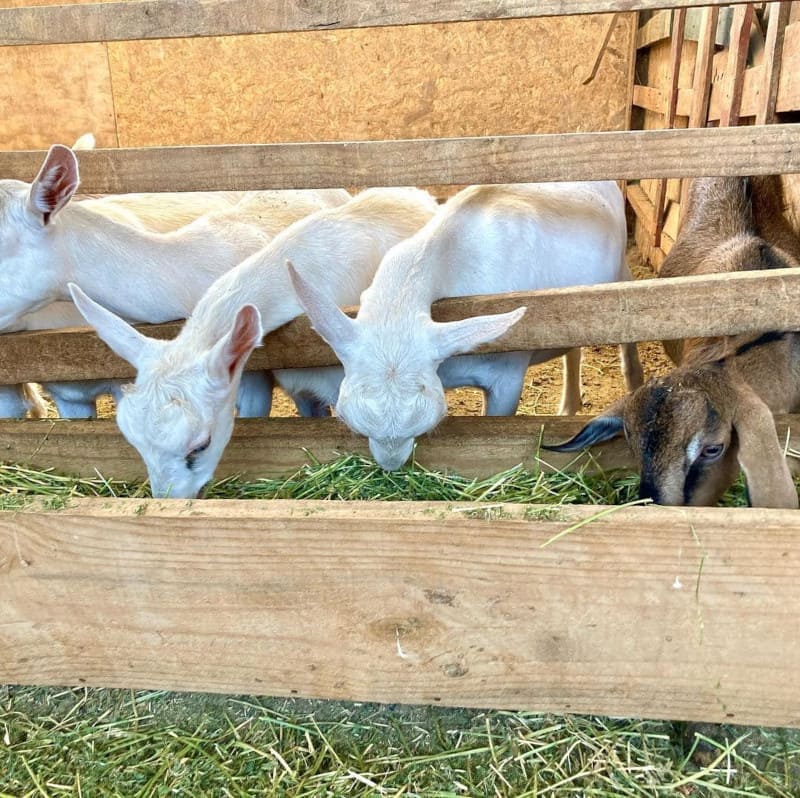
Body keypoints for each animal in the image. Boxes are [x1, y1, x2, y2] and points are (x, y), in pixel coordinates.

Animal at [288, 181, 644, 468]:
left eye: (428, 425)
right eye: (352, 425)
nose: (391, 466)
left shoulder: (507, 379)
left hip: (621, 274)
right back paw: (569, 404)